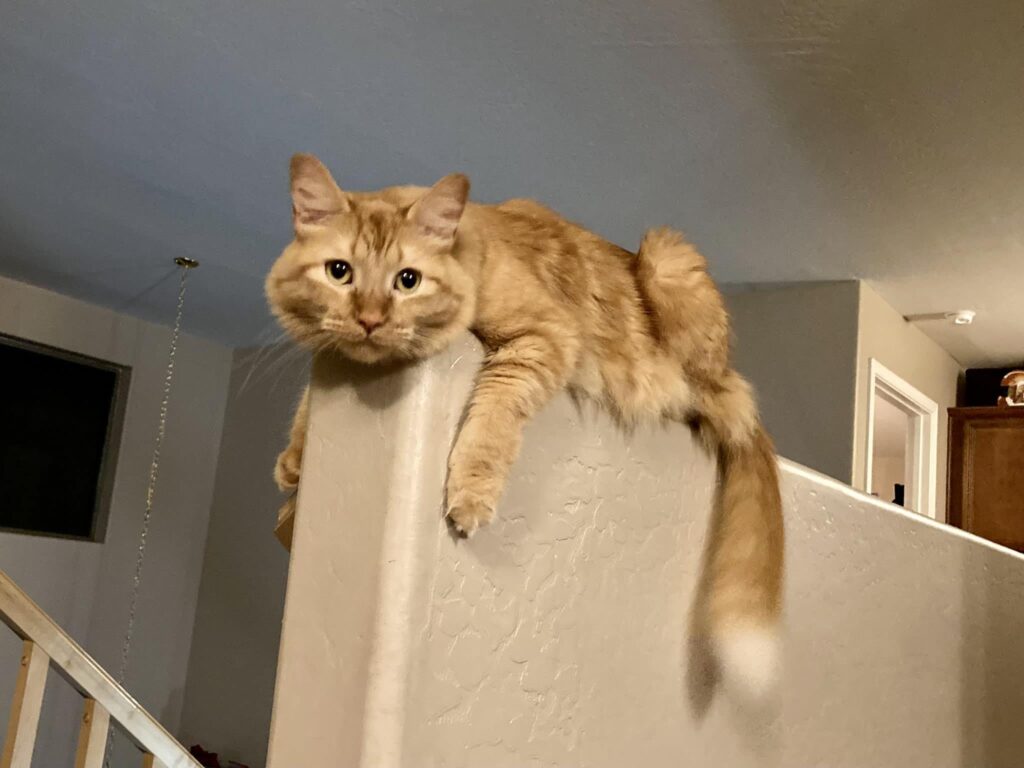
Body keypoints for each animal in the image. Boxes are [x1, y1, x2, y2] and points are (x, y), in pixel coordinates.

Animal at [264, 153, 782, 700]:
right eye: (339, 272)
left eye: (408, 280)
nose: (369, 319)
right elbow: (308, 398)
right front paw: (296, 457)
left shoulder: (542, 339)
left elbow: (491, 417)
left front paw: (470, 494)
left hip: (670, 265)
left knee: (714, 399)